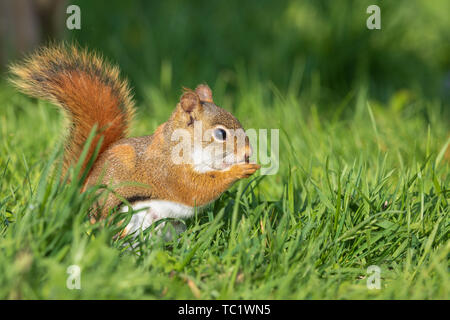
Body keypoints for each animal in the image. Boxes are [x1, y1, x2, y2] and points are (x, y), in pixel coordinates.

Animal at [8, 44, 258, 238]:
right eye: (221, 134)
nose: (247, 153)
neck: (181, 148)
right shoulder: (168, 173)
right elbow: (197, 189)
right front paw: (240, 171)